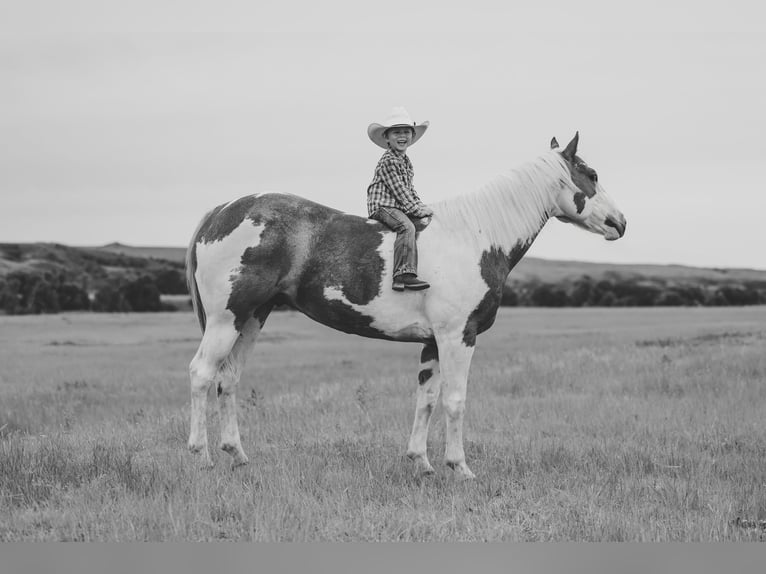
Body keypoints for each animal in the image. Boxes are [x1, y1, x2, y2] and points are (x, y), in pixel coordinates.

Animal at [185, 132, 626, 479]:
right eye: (591, 175)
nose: (620, 223)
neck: (476, 237)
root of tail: (220, 211)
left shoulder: (433, 342)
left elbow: (426, 400)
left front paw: (421, 463)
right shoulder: (458, 337)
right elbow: (454, 401)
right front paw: (460, 468)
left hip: (251, 319)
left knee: (229, 378)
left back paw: (238, 456)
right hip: (226, 320)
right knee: (203, 374)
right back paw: (200, 457)